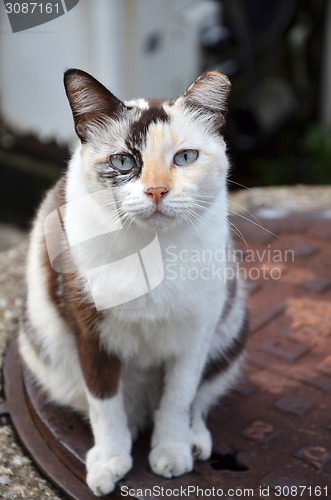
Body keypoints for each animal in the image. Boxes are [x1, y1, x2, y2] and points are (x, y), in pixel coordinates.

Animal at [18, 67, 246, 496]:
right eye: (124, 161)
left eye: (185, 157)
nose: (157, 190)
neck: (151, 250)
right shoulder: (88, 329)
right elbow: (104, 402)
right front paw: (110, 460)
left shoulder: (196, 331)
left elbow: (180, 396)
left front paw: (172, 451)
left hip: (231, 325)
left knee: (201, 395)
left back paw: (194, 439)